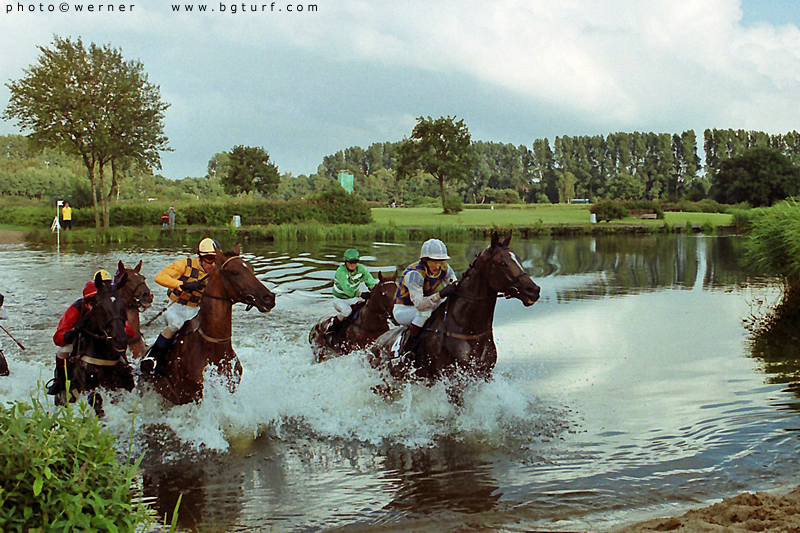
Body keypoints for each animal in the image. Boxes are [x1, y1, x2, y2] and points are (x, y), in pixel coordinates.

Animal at [369, 232, 541, 403]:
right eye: (502, 263)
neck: (469, 329)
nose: (533, 290)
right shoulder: (453, 381)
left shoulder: (482, 376)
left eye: (519, 259)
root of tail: (377, 342)